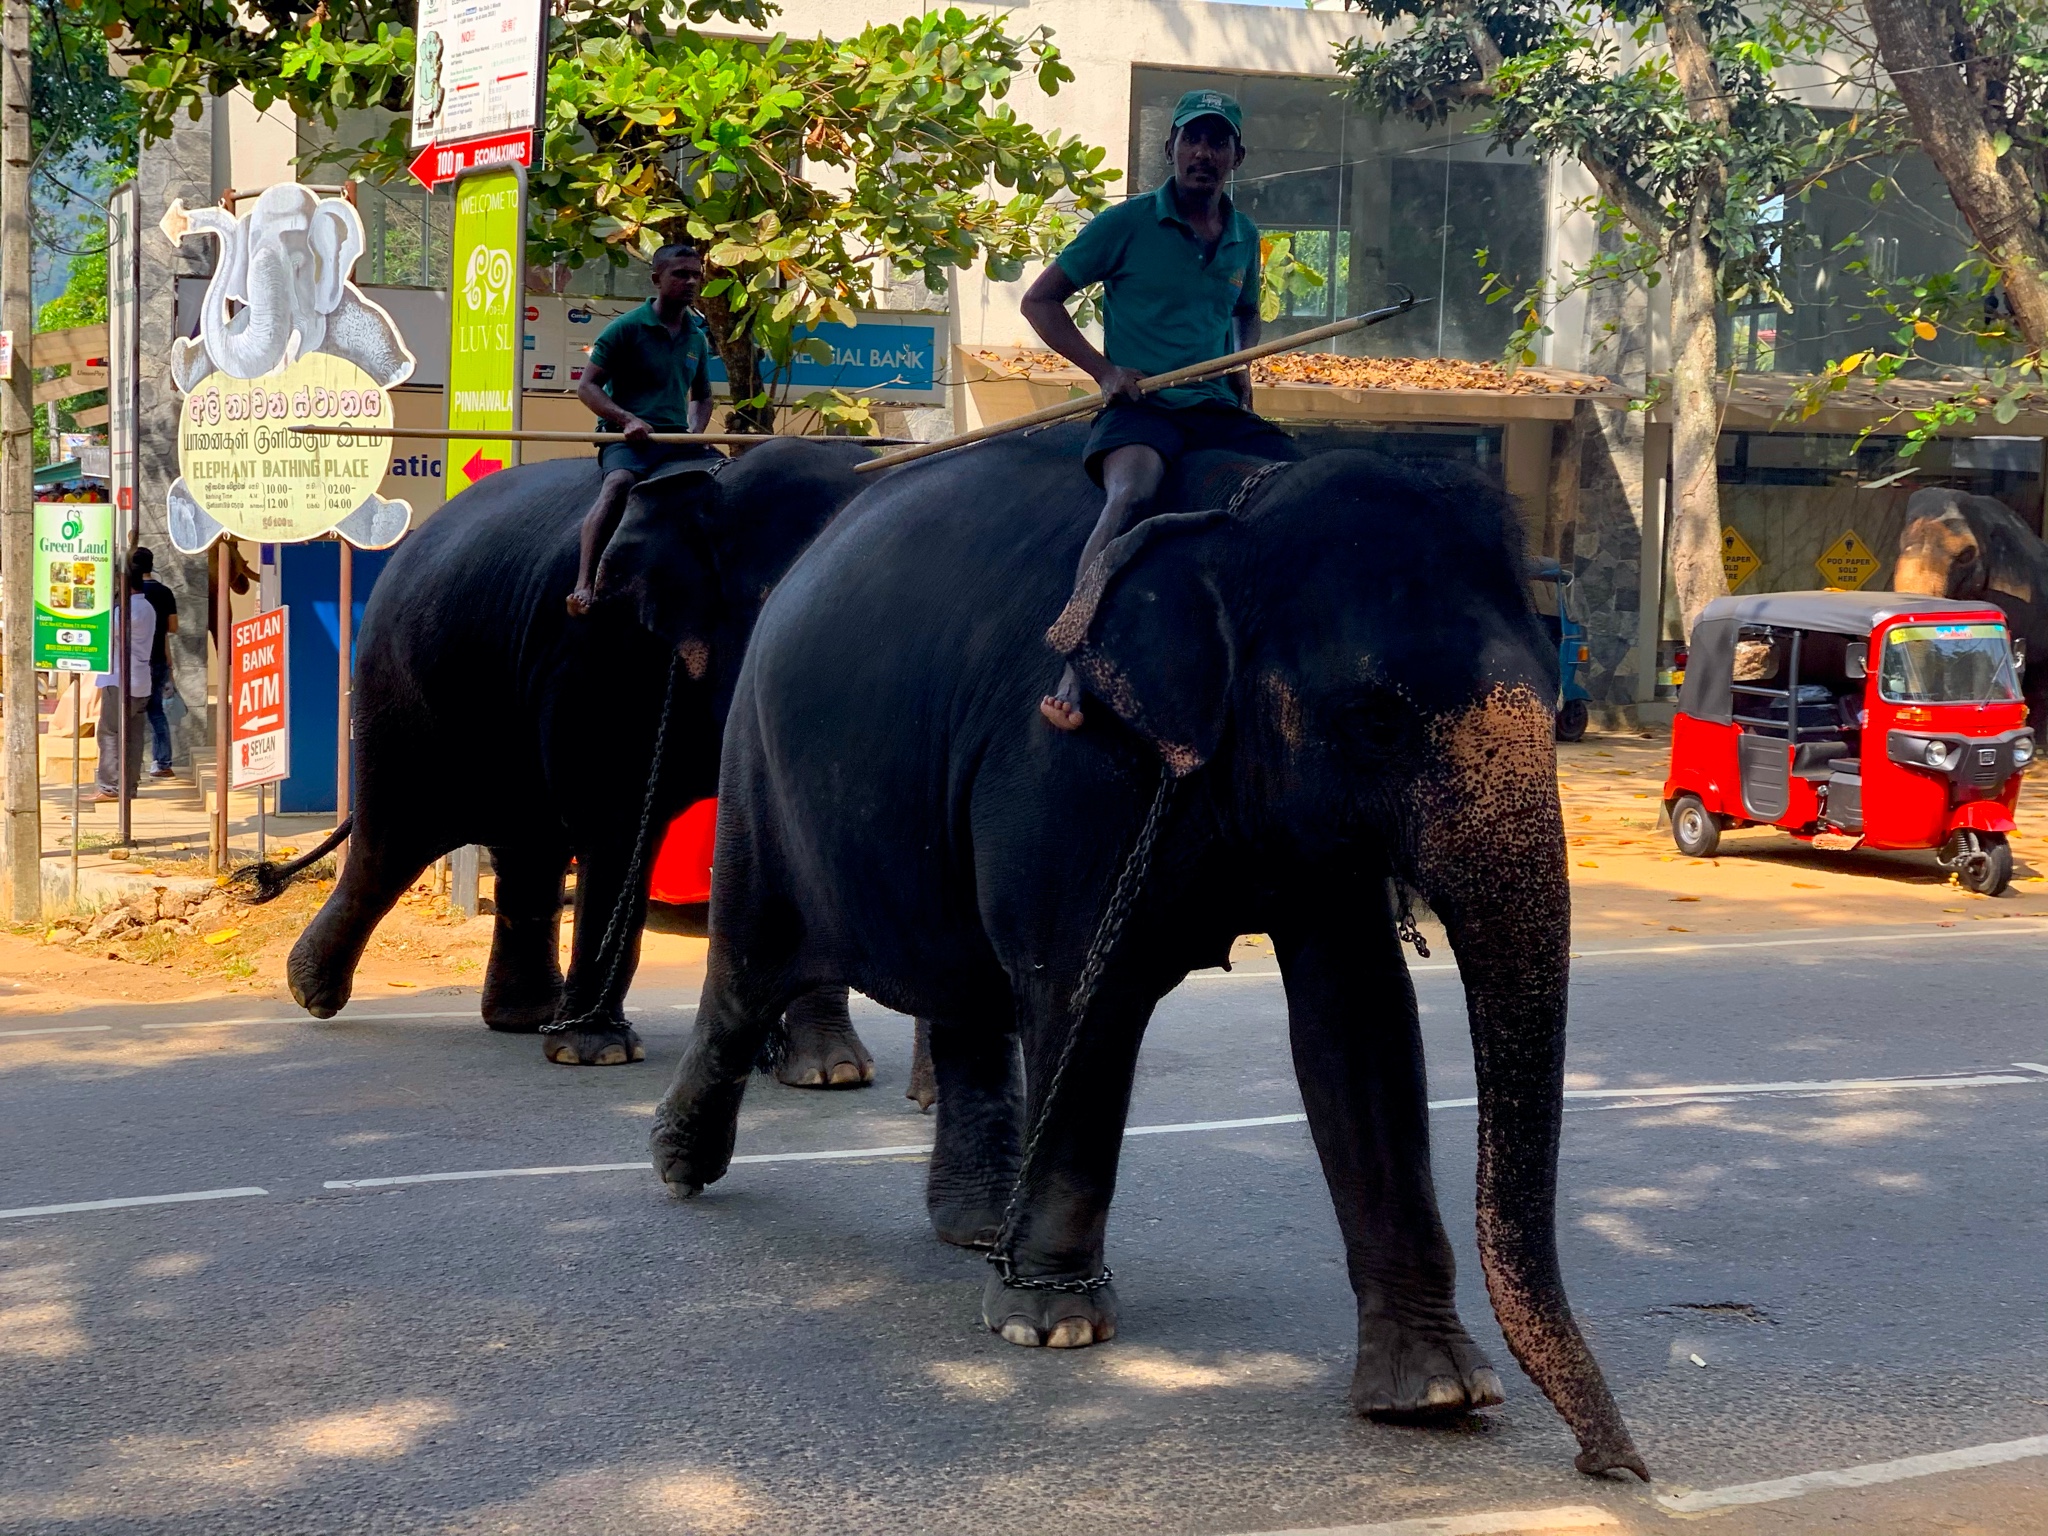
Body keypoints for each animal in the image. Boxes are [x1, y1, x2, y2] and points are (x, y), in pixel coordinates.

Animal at [274, 442, 880, 1081]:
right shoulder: (599, 653)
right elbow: (616, 824)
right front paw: (599, 1052)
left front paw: (836, 1073)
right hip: (404, 688)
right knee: (396, 833)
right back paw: (313, 992)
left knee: (526, 846)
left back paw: (525, 1018)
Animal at [651, 428, 1646, 1482]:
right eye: (1377, 718)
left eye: (1555, 696)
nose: (1613, 1463)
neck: (1242, 521)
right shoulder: (1066, 761)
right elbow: (1084, 996)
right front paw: (1052, 1323)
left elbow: (1359, 1015)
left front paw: (1435, 1394)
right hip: (757, 775)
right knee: (749, 970)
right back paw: (680, 1164)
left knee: (965, 994)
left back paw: (978, 1229)